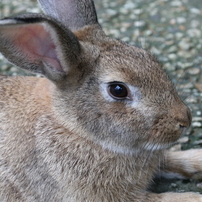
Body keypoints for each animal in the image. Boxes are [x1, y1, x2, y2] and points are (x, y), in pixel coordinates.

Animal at [0, 0, 202, 202]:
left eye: (149, 57)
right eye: (118, 90)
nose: (185, 120)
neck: (75, 129)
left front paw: (197, 158)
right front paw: (193, 197)